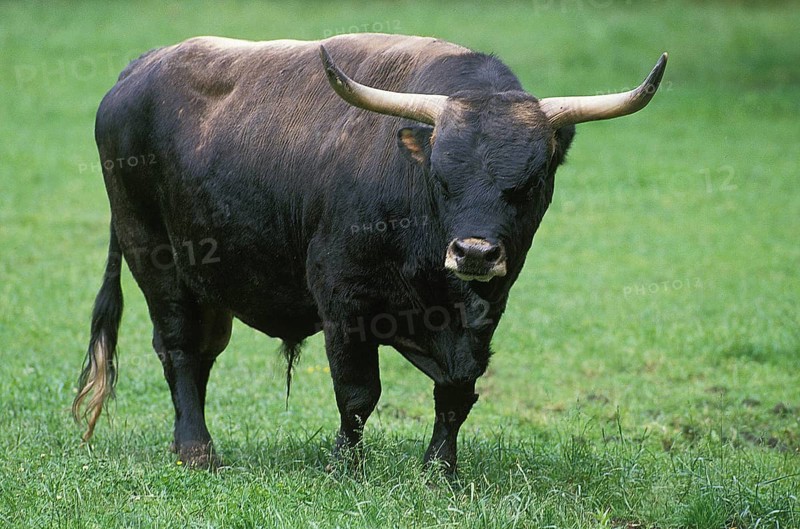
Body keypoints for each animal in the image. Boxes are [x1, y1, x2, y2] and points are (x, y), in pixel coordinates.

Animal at [72, 33, 667, 473]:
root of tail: (136, 71)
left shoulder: (486, 310)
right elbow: (358, 393)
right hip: (155, 258)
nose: (474, 252)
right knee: (179, 349)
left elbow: (457, 392)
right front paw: (343, 466)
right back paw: (198, 452)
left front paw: (440, 471)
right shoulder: (343, 299)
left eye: (531, 180)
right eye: (441, 178)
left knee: (204, 351)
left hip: (210, 280)